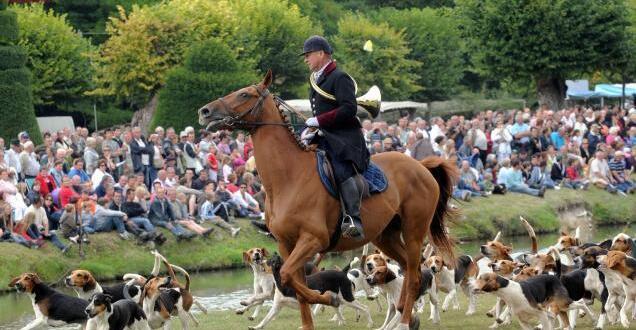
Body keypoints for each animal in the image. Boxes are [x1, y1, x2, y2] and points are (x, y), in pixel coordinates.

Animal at [199, 71, 458, 328]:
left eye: (244, 94)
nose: (204, 111)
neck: (288, 178)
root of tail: (421, 166)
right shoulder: (287, 245)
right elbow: (295, 284)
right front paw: (310, 319)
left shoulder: (313, 240)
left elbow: (287, 276)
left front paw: (328, 298)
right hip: (386, 236)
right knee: (406, 269)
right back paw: (407, 312)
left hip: (414, 231)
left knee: (413, 275)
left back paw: (404, 320)